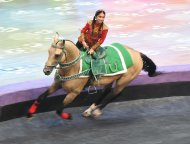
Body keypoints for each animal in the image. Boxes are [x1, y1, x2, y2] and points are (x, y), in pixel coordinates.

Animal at [26, 32, 157, 119]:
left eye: (57, 55)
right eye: (48, 51)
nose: (46, 70)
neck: (74, 67)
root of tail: (137, 53)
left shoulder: (74, 92)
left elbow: (59, 109)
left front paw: (68, 116)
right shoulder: (57, 84)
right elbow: (41, 97)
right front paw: (30, 112)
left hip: (124, 79)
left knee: (116, 93)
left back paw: (97, 111)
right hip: (109, 79)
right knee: (107, 91)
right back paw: (89, 110)